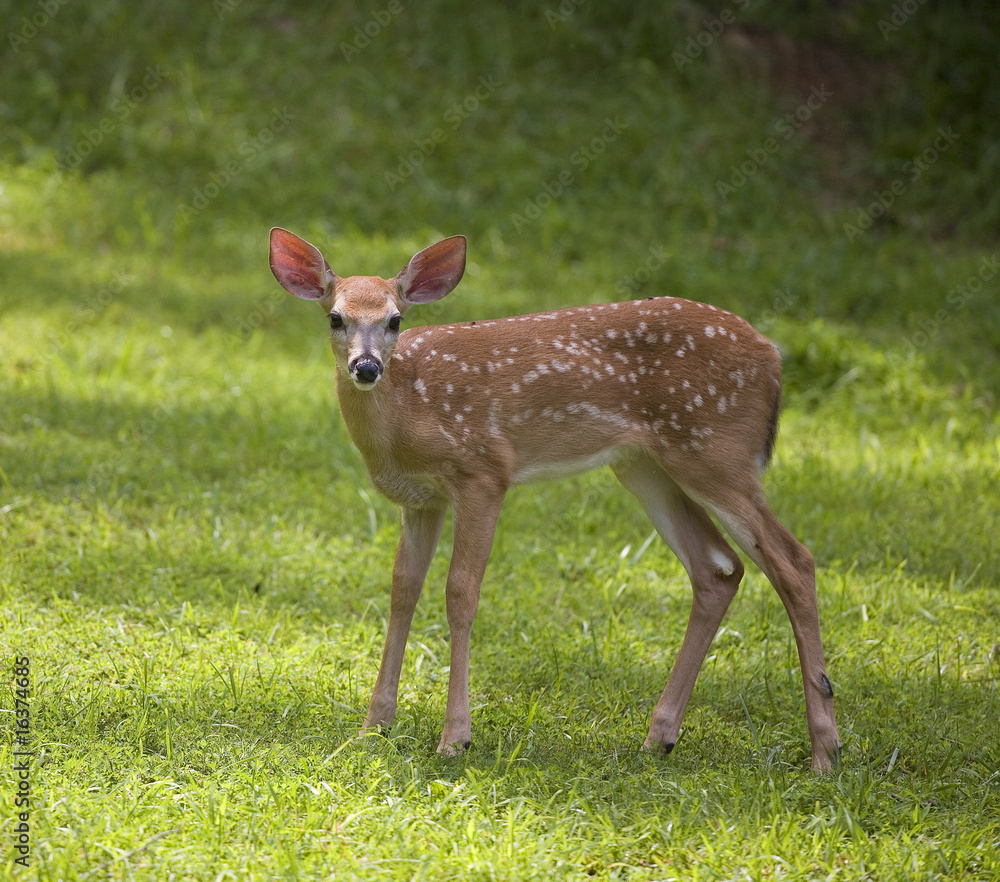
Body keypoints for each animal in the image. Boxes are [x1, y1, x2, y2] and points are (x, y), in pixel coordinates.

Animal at [268, 227, 843, 770]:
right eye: (335, 318)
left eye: (395, 320)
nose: (366, 368)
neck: (407, 416)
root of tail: (773, 357)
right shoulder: (421, 499)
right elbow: (402, 589)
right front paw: (374, 727)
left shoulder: (483, 472)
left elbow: (460, 593)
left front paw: (455, 739)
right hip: (646, 466)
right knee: (718, 567)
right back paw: (660, 737)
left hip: (718, 452)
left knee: (793, 561)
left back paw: (825, 752)